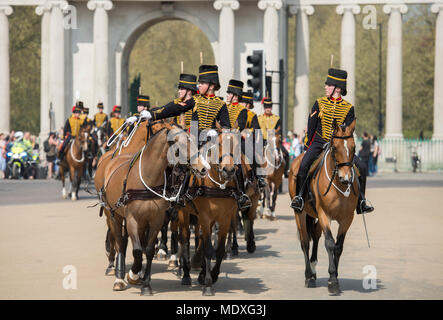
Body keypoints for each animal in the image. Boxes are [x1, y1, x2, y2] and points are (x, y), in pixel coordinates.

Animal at [99, 122, 207, 296]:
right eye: (182, 144)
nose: (203, 168)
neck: (147, 178)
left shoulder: (155, 220)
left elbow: (148, 250)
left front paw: (145, 284)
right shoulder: (132, 220)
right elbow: (136, 250)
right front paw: (132, 275)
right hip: (113, 215)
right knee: (120, 242)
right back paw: (119, 278)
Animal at [288, 120, 360, 296]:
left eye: (354, 147)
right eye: (334, 147)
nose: (346, 177)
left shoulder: (347, 218)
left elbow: (338, 246)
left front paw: (334, 276)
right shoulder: (324, 214)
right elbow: (329, 243)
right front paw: (332, 280)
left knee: (315, 236)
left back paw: (313, 271)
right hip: (300, 213)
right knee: (305, 241)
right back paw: (308, 275)